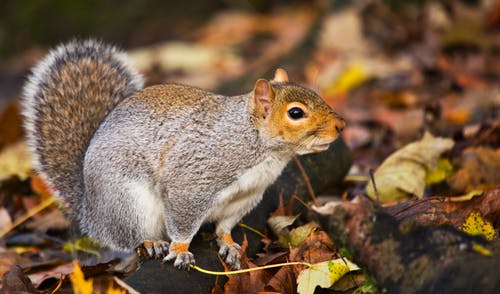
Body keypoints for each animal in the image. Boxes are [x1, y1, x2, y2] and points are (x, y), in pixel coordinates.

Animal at [20, 40, 344, 270]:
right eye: (296, 113)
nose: (341, 126)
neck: (261, 150)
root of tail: (89, 210)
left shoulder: (247, 195)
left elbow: (226, 224)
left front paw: (228, 243)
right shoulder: (192, 182)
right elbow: (184, 222)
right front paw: (180, 250)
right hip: (127, 203)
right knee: (124, 238)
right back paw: (151, 242)